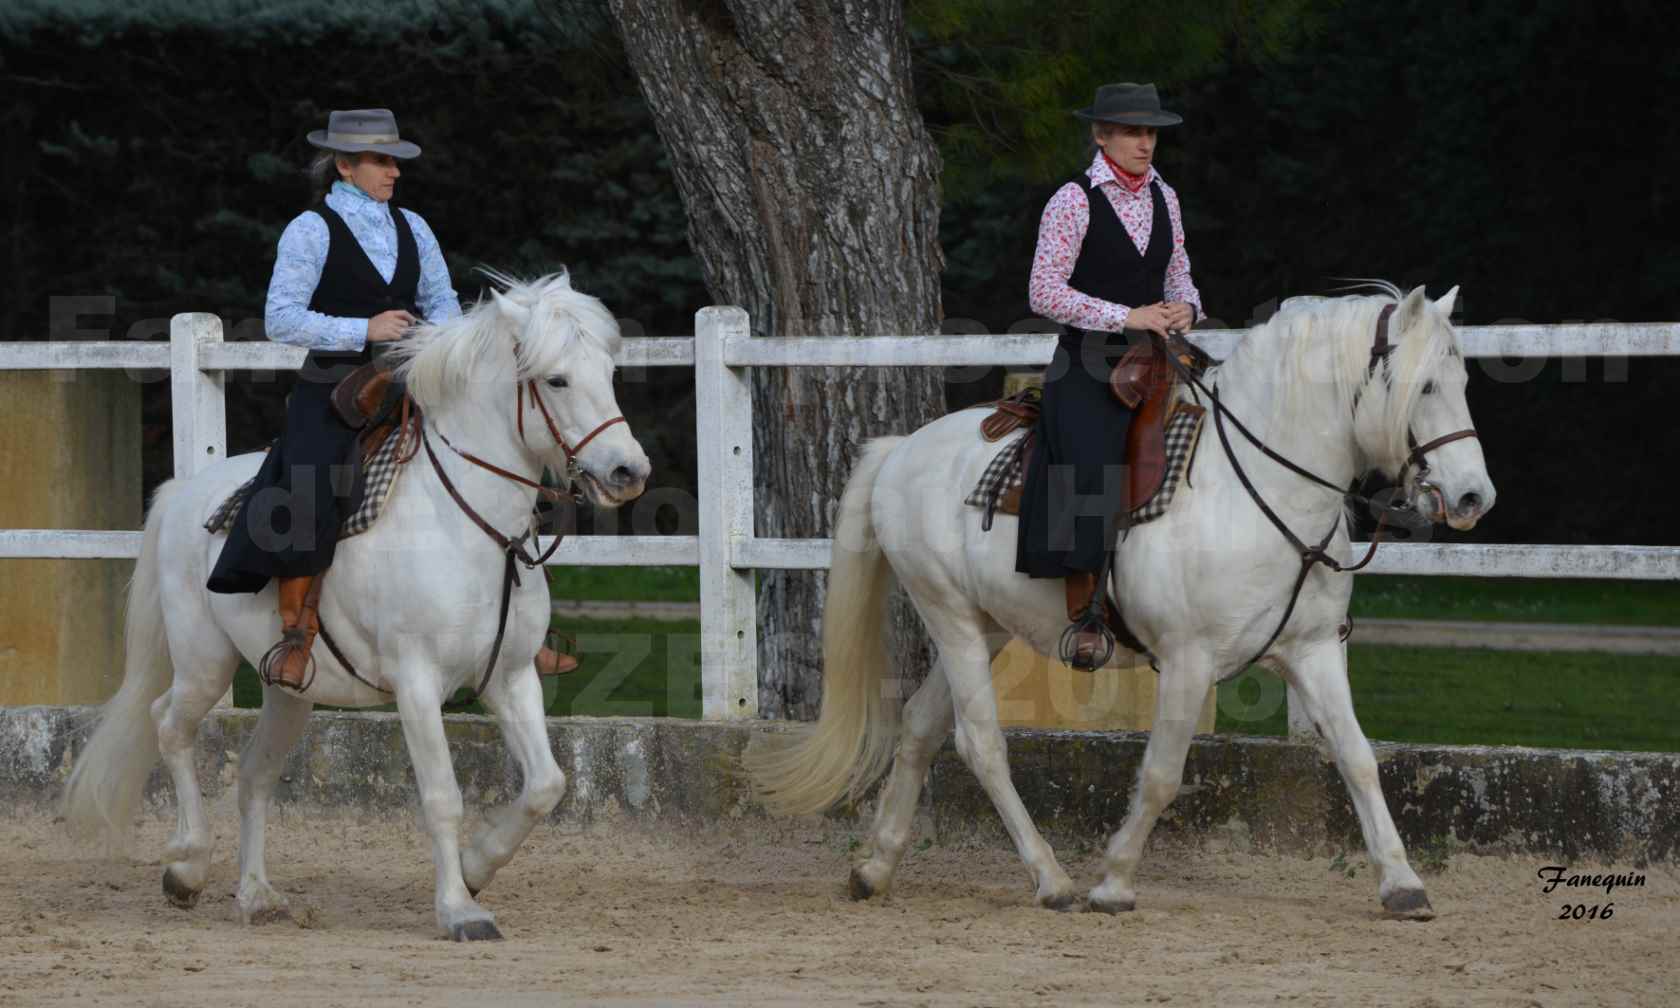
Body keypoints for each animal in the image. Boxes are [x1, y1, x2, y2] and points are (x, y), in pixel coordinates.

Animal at [63, 272, 648, 940]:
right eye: (556, 380)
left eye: (607, 371)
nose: (629, 471)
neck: (467, 524)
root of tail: (180, 491)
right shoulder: (417, 683)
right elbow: (442, 796)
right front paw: (460, 909)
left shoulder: (512, 675)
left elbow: (547, 784)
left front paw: (476, 868)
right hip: (203, 661)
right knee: (168, 724)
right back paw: (186, 867)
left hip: (289, 689)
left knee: (253, 774)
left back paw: (257, 894)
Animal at [749, 278, 1498, 920]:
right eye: (1425, 385)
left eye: (1460, 382)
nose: (1473, 498)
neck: (1257, 488)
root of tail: (900, 449)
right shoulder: (1190, 660)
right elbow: (1163, 772)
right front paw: (1113, 882)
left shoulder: (1312, 651)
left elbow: (1358, 756)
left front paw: (1402, 883)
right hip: (950, 618)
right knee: (980, 742)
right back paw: (1052, 879)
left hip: (984, 627)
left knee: (918, 728)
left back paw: (875, 867)